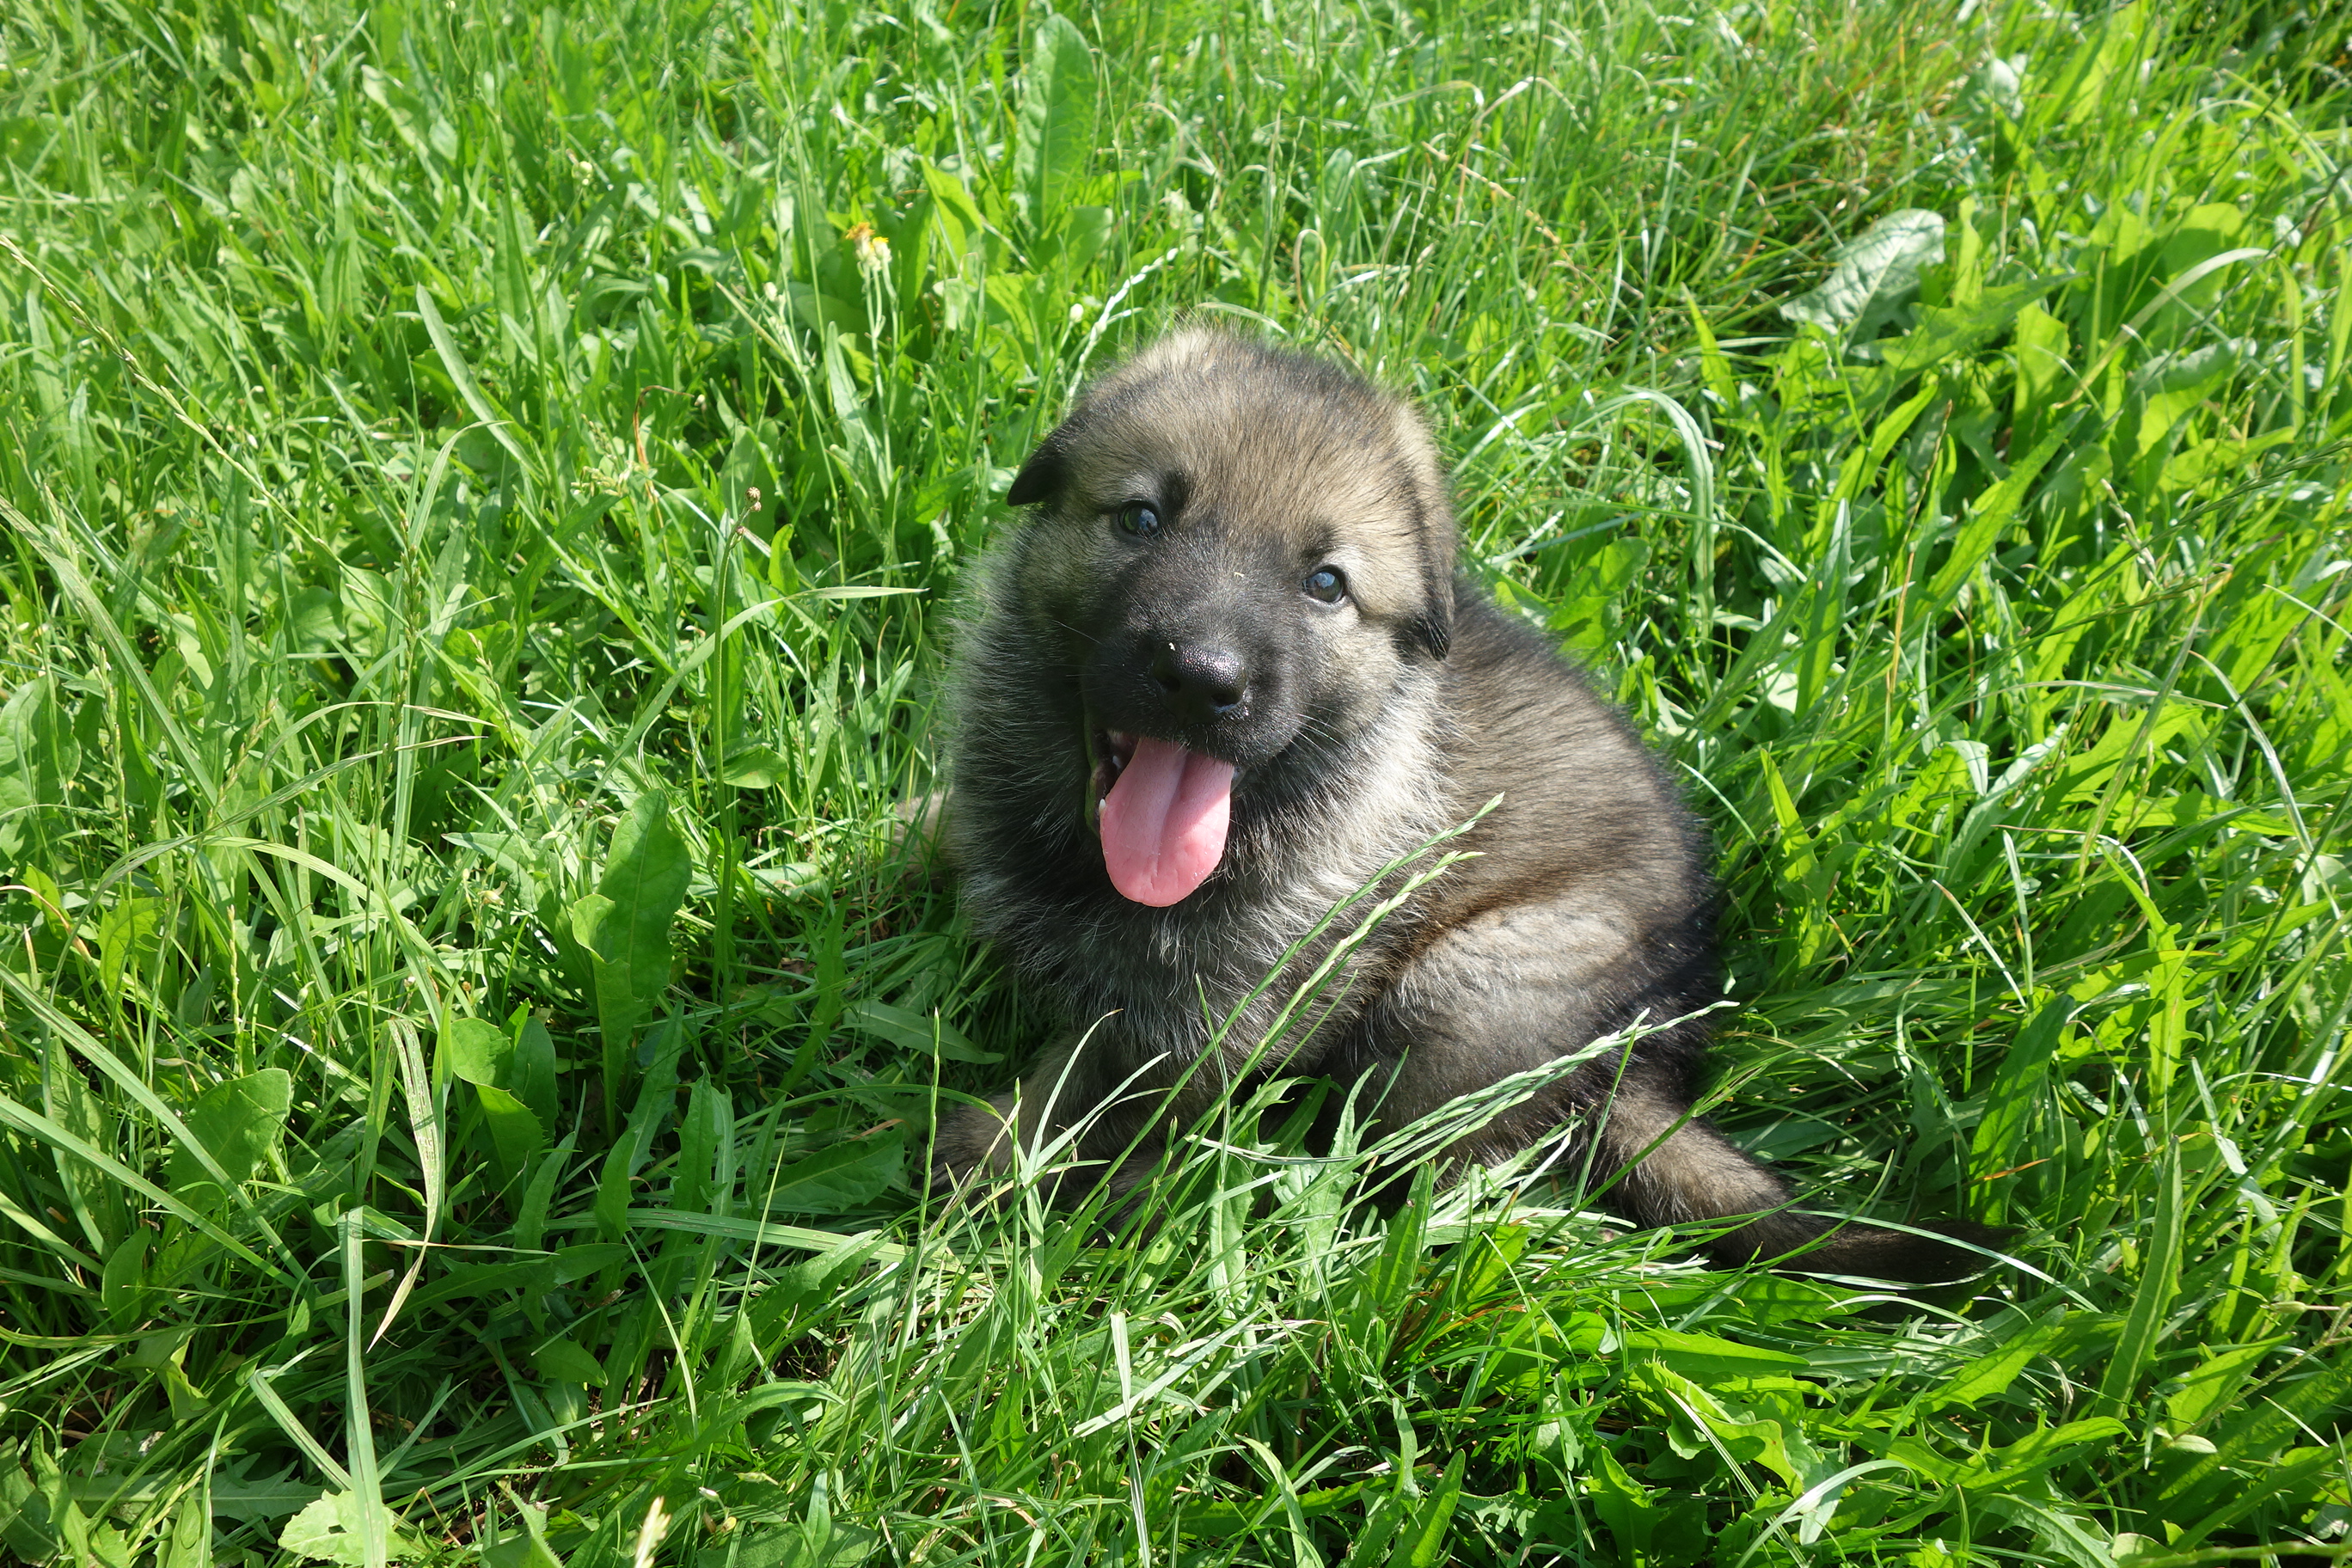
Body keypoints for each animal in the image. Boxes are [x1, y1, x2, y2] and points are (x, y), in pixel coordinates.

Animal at [929, 328, 1999, 1281]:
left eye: (1326, 585)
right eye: (1142, 519)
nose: (1201, 678)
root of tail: (1647, 1053)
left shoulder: (1213, 1006)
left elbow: (1089, 1082)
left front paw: (992, 1157)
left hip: (1469, 986)